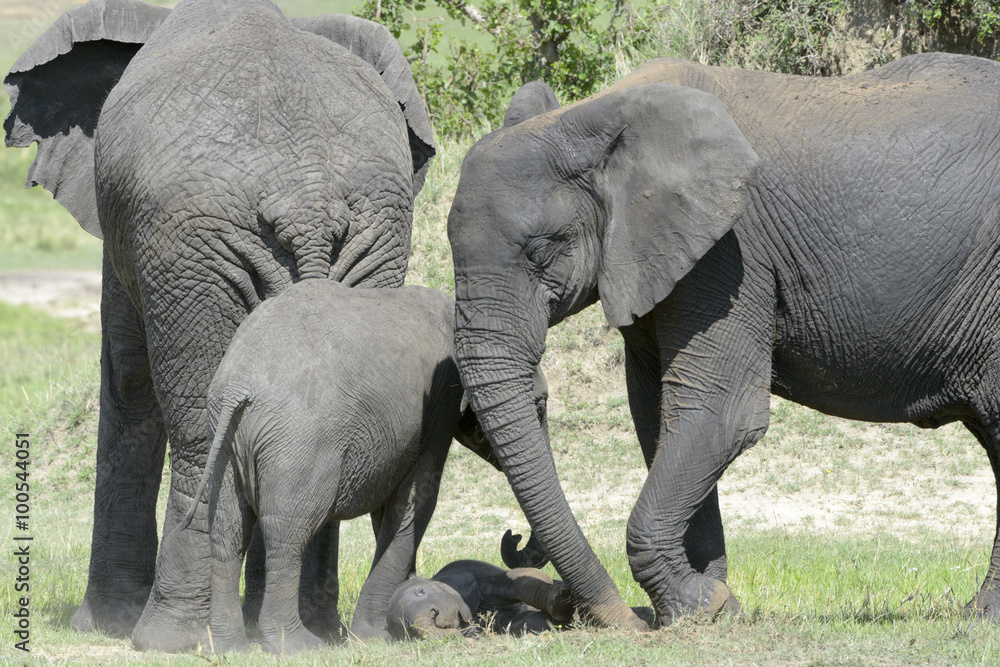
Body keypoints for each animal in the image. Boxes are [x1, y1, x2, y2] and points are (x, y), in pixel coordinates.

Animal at [4, 0, 435, 650]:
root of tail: (306, 197)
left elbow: (126, 379)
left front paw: (102, 623)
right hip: (369, 234)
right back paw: (303, 630)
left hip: (189, 246)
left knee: (197, 430)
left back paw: (170, 637)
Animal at [181, 280, 549, 651]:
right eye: (541, 406)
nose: (513, 536)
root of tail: (238, 387)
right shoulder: (438, 402)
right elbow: (417, 499)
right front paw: (376, 635)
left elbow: (389, 507)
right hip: (298, 443)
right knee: (287, 533)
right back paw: (300, 645)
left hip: (225, 440)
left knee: (227, 531)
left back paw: (231, 647)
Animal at [447, 52, 1000, 628]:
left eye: (540, 251)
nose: (515, 541)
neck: (592, 118)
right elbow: (660, 418)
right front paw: (709, 606)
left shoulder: (731, 252)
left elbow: (719, 412)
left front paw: (696, 604)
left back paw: (982, 615)